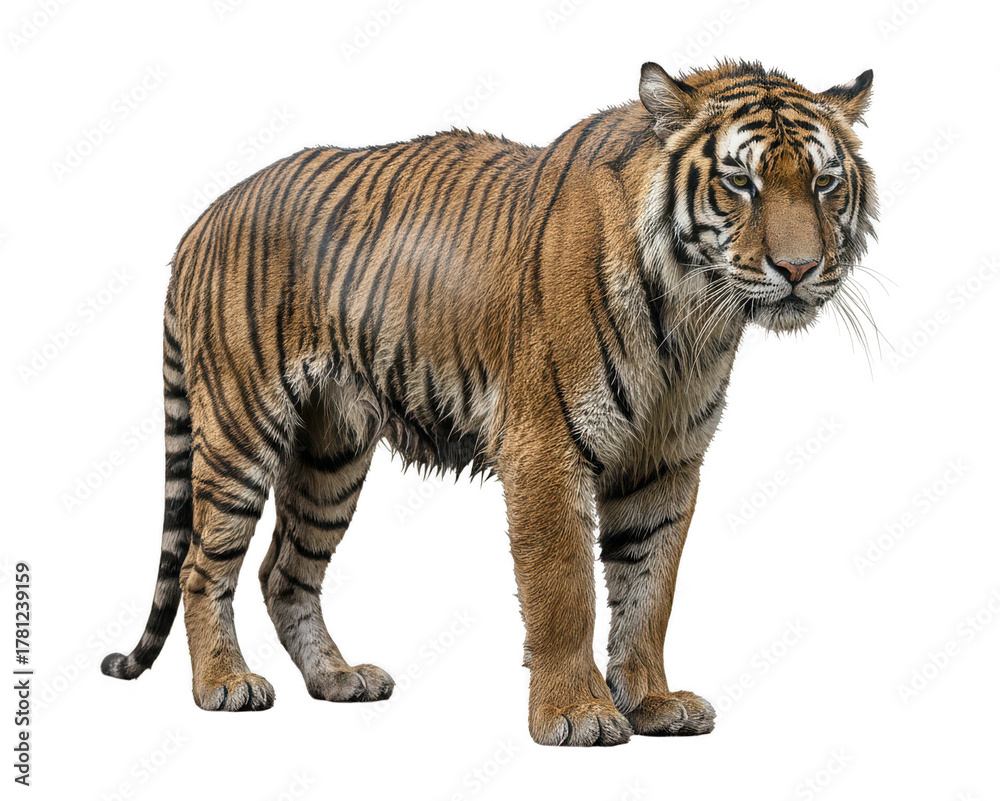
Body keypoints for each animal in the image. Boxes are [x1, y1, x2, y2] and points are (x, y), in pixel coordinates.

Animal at [101, 60, 876, 747]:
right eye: (740, 181)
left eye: (825, 182)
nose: (800, 269)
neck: (692, 313)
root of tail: (202, 219)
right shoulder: (546, 447)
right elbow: (564, 588)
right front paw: (578, 714)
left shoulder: (665, 462)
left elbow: (650, 590)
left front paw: (653, 703)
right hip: (241, 428)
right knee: (203, 564)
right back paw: (225, 684)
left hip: (331, 455)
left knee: (284, 573)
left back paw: (340, 679)